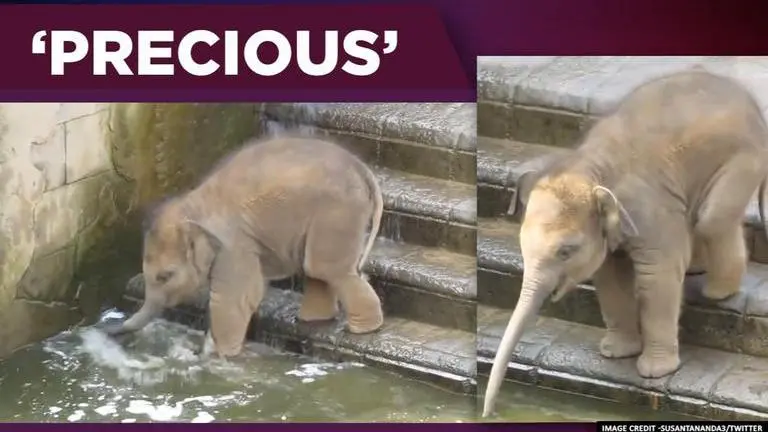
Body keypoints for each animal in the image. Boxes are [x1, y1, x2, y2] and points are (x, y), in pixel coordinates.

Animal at [103, 135, 385, 358]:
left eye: (165, 276)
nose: (107, 327)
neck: (192, 206)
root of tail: (363, 168)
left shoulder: (233, 243)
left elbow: (236, 295)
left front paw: (218, 356)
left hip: (337, 212)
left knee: (325, 268)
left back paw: (362, 329)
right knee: (315, 268)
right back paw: (313, 320)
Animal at [481, 70, 768, 417]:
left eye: (565, 251)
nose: (488, 413)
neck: (589, 169)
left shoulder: (649, 209)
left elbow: (656, 276)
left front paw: (654, 372)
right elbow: (610, 276)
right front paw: (615, 353)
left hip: (743, 157)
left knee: (711, 218)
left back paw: (718, 291)